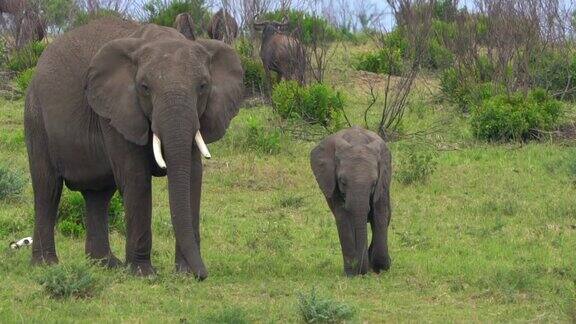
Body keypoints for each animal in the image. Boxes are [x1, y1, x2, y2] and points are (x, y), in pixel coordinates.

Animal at [24, 15, 244, 278]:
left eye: (202, 86)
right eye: (144, 88)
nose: (203, 275)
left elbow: (192, 176)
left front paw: (184, 274)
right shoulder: (115, 111)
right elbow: (136, 177)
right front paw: (144, 274)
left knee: (98, 195)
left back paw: (106, 264)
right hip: (36, 117)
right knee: (48, 188)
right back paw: (46, 264)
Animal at [310, 126, 392, 276]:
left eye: (374, 183)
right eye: (342, 182)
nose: (362, 271)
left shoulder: (382, 183)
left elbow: (380, 214)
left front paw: (380, 267)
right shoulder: (332, 183)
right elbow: (343, 218)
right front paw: (352, 273)